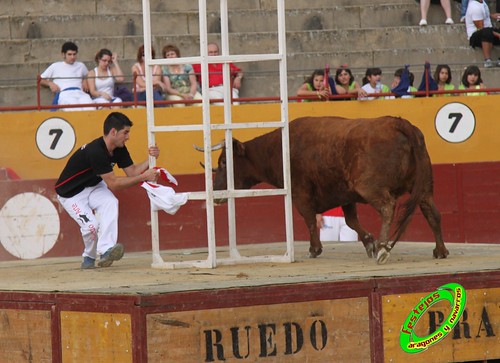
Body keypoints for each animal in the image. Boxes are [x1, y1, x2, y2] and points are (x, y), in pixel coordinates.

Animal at [203, 116, 450, 264]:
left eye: (224, 162)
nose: (217, 193)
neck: (278, 149)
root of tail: (398, 123)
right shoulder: (346, 195)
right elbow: (351, 220)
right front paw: (368, 241)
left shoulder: (300, 194)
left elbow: (309, 219)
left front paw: (315, 249)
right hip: (424, 186)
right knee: (433, 212)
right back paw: (440, 251)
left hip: (369, 186)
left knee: (388, 207)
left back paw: (383, 248)